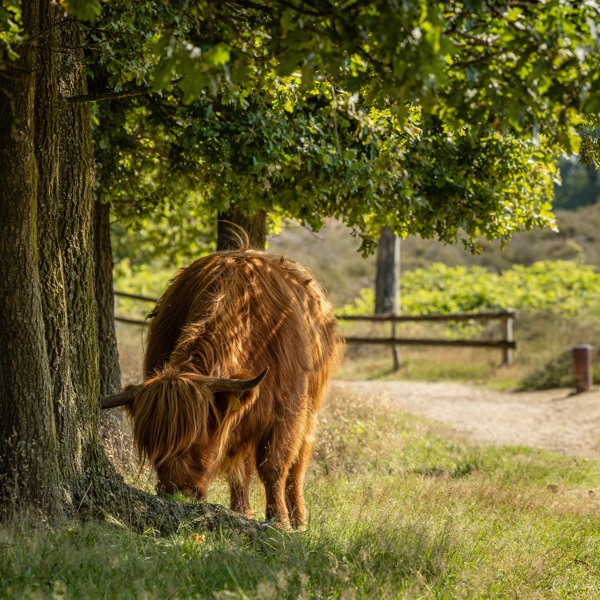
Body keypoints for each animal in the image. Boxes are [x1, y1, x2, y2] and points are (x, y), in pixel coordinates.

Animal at [124, 234, 340, 528]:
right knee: (243, 467)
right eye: (153, 448)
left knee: (297, 464)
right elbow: (241, 468)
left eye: (192, 441)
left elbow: (274, 465)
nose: (176, 493)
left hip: (309, 412)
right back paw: (242, 512)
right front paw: (249, 515)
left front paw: (279, 522)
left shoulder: (287, 412)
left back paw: (299, 521)